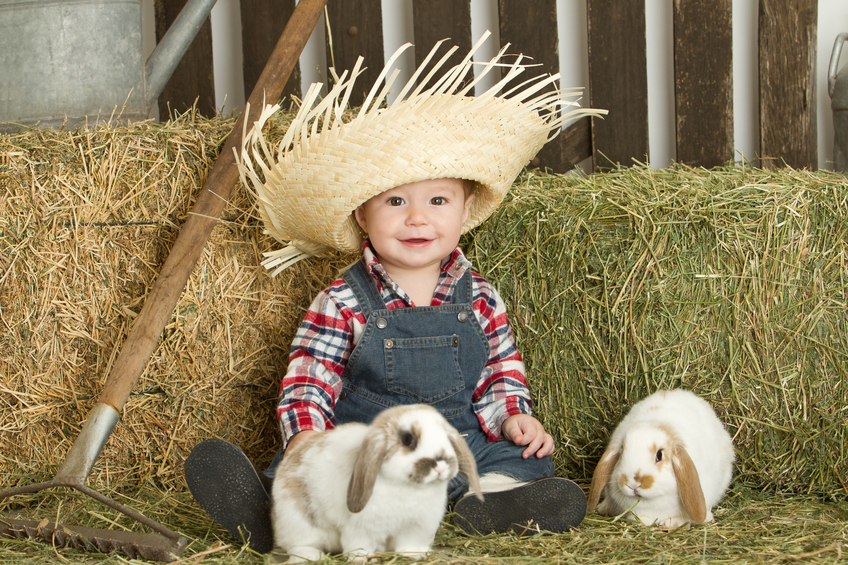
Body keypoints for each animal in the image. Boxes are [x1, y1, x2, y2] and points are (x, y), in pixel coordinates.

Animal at [272, 404, 484, 560]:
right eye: (408, 440)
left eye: (446, 437)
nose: (440, 465)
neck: (408, 488)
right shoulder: (361, 529)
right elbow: (359, 547)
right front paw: (363, 558)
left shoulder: (416, 528)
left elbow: (409, 545)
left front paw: (413, 555)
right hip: (298, 524)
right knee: (298, 546)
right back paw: (314, 556)